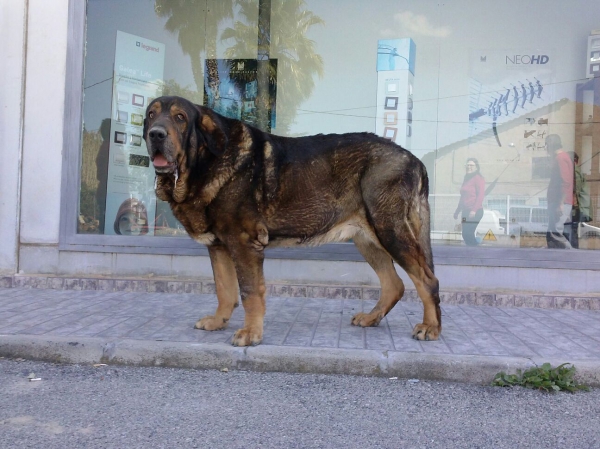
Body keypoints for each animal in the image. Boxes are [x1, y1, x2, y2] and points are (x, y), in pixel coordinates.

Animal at [142, 95, 438, 346]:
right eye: (150, 115)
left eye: (180, 117)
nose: (155, 133)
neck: (204, 163)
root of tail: (415, 160)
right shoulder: (219, 247)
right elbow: (224, 289)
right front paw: (218, 321)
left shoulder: (243, 244)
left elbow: (249, 292)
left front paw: (251, 333)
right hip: (367, 239)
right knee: (394, 284)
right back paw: (372, 317)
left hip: (390, 230)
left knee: (427, 279)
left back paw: (431, 327)